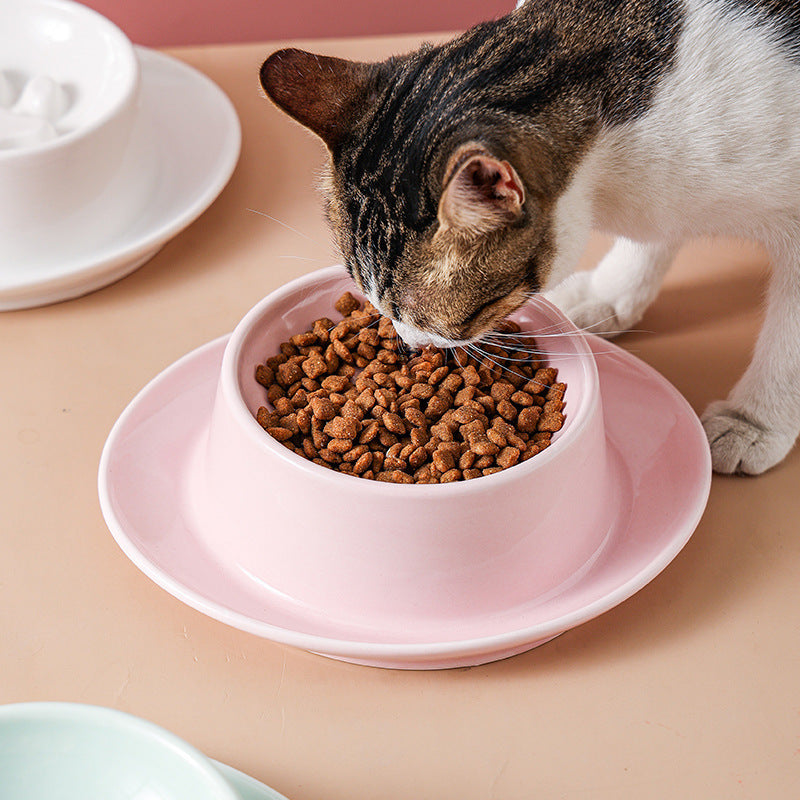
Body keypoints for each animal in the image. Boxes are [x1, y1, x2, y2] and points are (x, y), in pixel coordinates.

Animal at [260, 0, 800, 476]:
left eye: (447, 320)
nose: (411, 350)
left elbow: (787, 343)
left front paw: (752, 422)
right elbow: (654, 236)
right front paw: (611, 294)